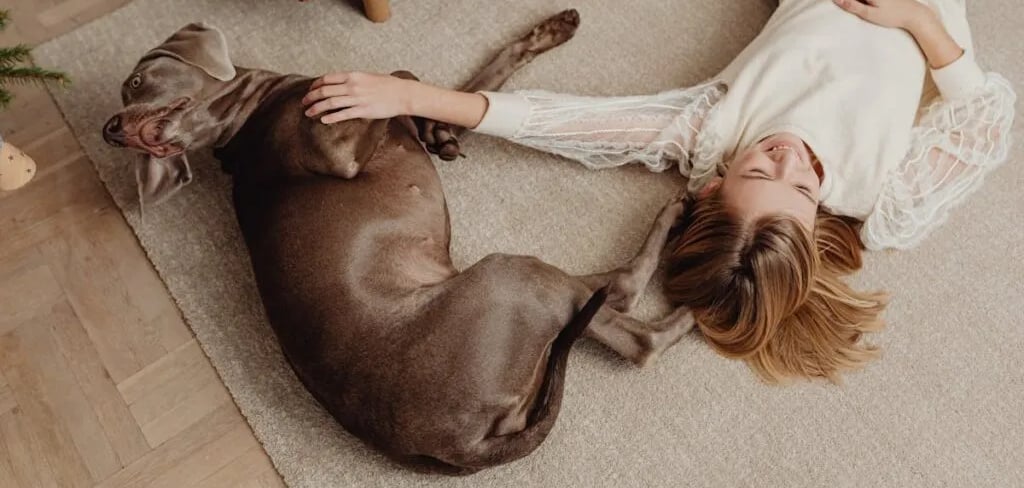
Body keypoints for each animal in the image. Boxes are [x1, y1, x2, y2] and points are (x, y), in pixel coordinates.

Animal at [103, 13, 692, 472]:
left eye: (136, 81)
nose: (112, 130)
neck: (246, 121)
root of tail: (464, 444)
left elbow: (468, 88)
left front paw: (545, 35)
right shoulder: (338, 147)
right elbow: (399, 79)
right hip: (507, 276)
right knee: (631, 318)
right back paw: (686, 244)